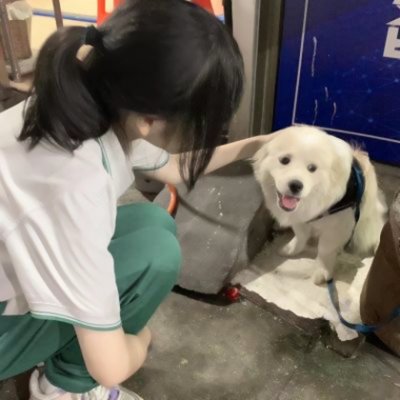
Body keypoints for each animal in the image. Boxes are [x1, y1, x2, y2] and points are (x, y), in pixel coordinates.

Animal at [253, 126, 387, 285]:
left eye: (312, 168)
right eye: (285, 160)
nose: (295, 185)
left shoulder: (337, 226)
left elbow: (325, 249)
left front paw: (322, 272)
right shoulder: (301, 219)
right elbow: (300, 236)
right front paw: (291, 249)